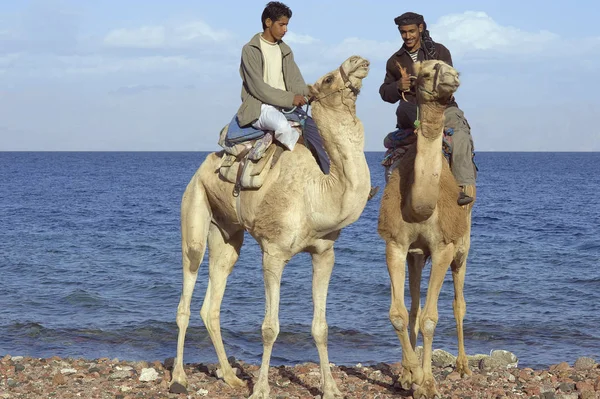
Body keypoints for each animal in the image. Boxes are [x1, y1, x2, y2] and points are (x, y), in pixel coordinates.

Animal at [169, 54, 372, 399]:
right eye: (328, 79)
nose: (359, 61)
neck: (318, 191)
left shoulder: (324, 253)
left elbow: (321, 327)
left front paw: (331, 389)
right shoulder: (274, 253)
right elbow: (269, 328)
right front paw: (262, 388)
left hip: (227, 231)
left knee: (212, 302)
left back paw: (231, 377)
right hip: (193, 202)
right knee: (188, 282)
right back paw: (178, 378)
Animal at [378, 59, 476, 399]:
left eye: (448, 65)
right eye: (423, 72)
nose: (452, 77)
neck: (422, 205)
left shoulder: (444, 246)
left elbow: (433, 318)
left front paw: (428, 382)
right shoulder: (396, 244)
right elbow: (400, 314)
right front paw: (409, 376)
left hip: (462, 245)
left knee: (458, 303)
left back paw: (463, 366)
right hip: (416, 255)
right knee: (415, 306)